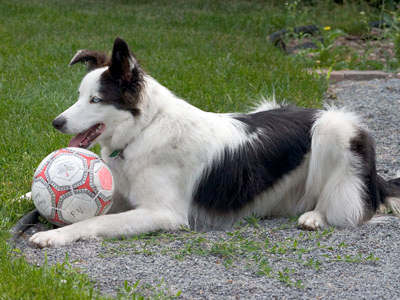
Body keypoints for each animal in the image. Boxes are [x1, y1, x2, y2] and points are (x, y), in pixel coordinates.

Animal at [29, 38, 400, 248]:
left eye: (95, 100)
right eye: (79, 96)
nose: (56, 122)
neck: (144, 129)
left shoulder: (164, 213)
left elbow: (96, 221)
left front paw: (54, 235)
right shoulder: (119, 191)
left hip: (334, 128)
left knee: (353, 206)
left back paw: (316, 217)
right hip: (268, 106)